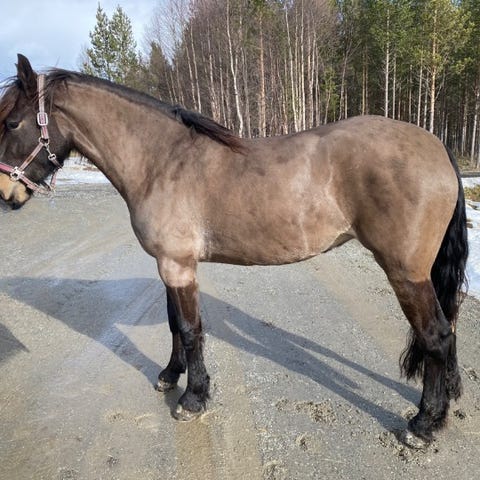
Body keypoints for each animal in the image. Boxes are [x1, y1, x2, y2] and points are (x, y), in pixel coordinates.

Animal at [0, 54, 468, 448]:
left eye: (12, 123)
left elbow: (190, 330)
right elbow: (174, 324)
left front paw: (193, 398)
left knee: (437, 337)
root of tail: (436, 145)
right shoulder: (171, 266)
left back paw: (423, 424)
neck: (162, 161)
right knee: (447, 332)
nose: (6, 194)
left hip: (406, 273)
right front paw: (170, 376)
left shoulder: (177, 265)